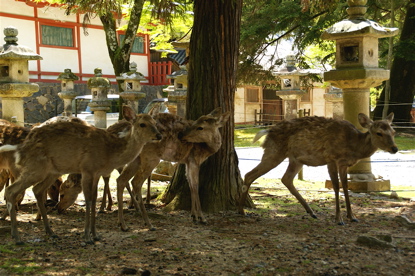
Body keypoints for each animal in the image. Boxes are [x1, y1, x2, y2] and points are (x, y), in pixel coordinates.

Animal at [0, 105, 162, 244]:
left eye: (155, 122)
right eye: (142, 124)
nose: (159, 135)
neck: (109, 153)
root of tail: (21, 148)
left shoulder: (97, 174)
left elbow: (94, 199)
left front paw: (96, 235)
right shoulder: (87, 169)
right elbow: (88, 200)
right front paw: (87, 237)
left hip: (51, 171)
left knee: (37, 189)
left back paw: (50, 232)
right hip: (35, 167)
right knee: (11, 190)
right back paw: (17, 237)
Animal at [239, 113, 398, 225]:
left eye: (393, 131)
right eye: (378, 132)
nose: (394, 148)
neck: (354, 146)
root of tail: (268, 131)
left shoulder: (343, 164)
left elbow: (346, 186)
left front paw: (352, 216)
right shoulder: (331, 158)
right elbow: (336, 186)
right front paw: (339, 219)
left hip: (295, 159)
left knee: (286, 179)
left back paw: (311, 212)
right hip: (274, 151)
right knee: (249, 175)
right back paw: (242, 211)